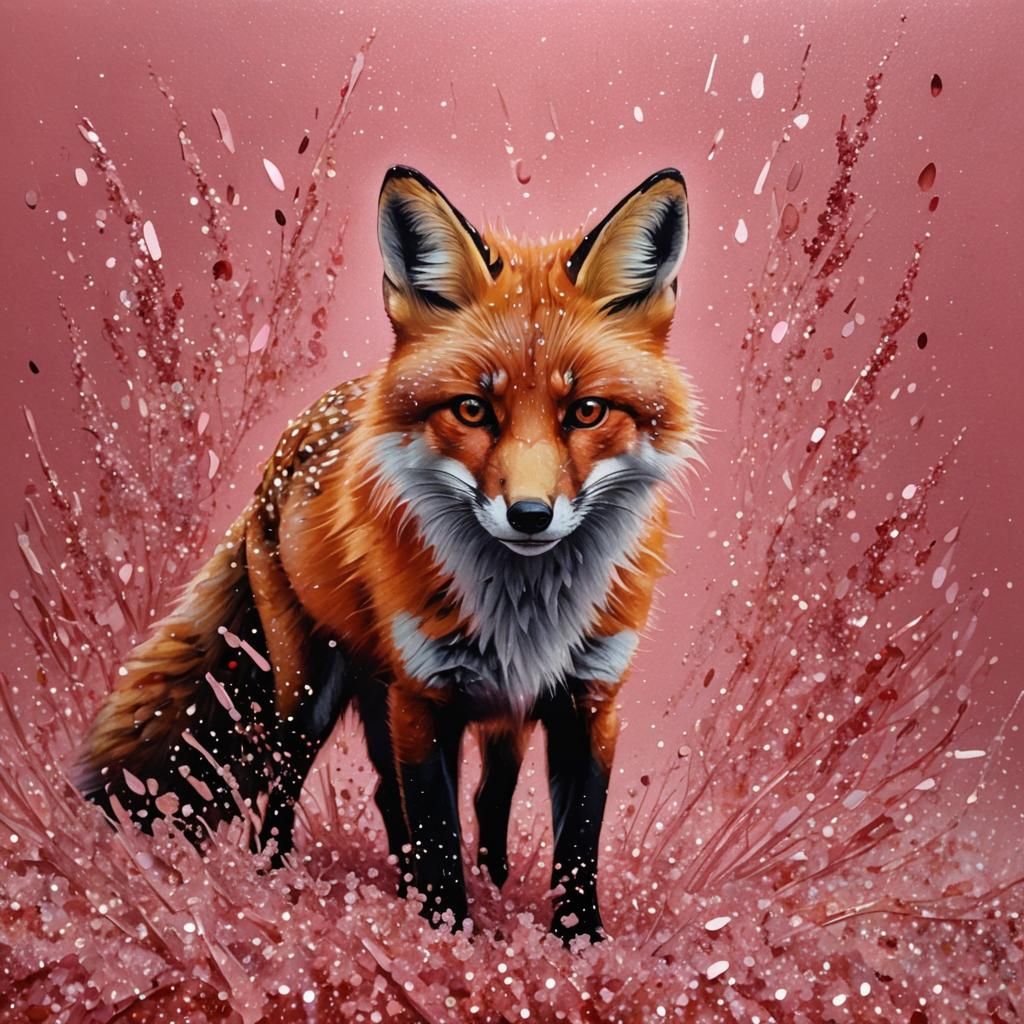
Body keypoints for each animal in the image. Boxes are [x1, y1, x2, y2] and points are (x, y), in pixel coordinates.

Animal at [76, 165, 699, 943]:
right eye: (472, 409)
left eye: (586, 411)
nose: (529, 516)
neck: (525, 610)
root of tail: (283, 452)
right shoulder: (425, 696)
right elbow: (437, 832)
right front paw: (448, 937)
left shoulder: (588, 698)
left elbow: (575, 841)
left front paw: (577, 945)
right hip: (309, 691)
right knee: (286, 781)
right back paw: (276, 879)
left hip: (413, 697)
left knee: (449, 794)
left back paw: (461, 883)